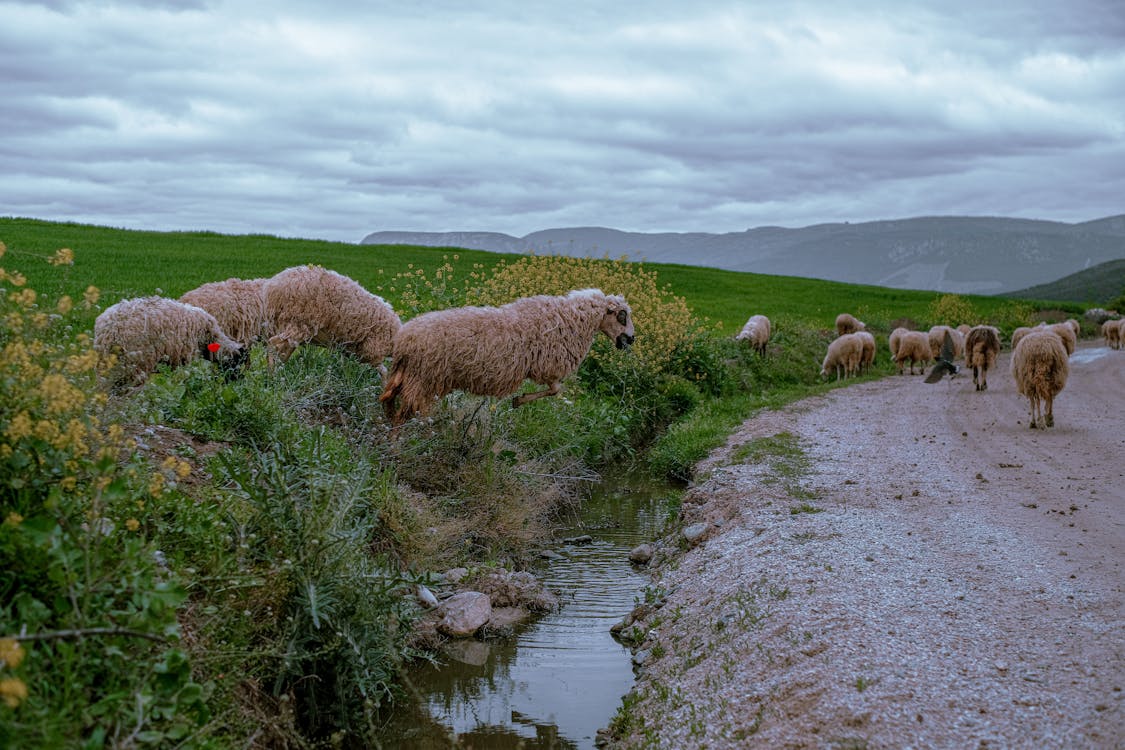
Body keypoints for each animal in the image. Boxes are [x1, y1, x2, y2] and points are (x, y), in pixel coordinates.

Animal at [95, 294, 247, 386]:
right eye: (239, 363)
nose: (239, 382)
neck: (211, 338)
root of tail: (106, 329)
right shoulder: (189, 356)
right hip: (134, 363)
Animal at [261, 264, 402, 375]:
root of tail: (272, 287)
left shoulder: (351, 350)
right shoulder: (371, 352)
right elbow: (384, 372)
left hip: (292, 328)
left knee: (282, 351)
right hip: (298, 324)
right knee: (272, 344)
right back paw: (273, 375)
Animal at [382, 290, 639, 425]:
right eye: (622, 315)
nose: (631, 339)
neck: (573, 318)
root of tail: (404, 341)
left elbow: (555, 391)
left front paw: (518, 400)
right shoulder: (547, 366)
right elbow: (556, 390)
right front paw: (519, 400)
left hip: (410, 376)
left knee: (390, 400)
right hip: (424, 378)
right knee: (404, 412)